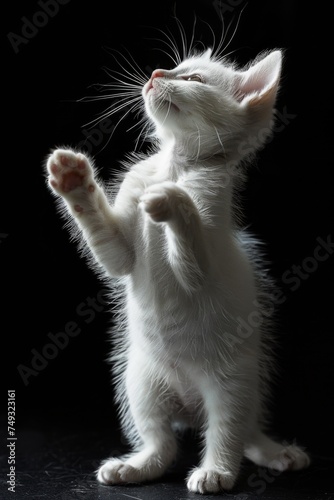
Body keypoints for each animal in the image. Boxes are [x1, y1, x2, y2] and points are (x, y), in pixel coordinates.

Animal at [45, 41, 310, 494]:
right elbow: (113, 253)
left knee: (231, 433)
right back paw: (137, 466)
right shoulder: (121, 251)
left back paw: (223, 470)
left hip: (233, 385)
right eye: (173, 68)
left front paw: (172, 200)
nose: (155, 74)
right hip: (140, 381)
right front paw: (74, 180)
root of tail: (190, 405)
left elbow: (190, 250)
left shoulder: (203, 258)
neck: (176, 163)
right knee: (162, 443)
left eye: (194, 78)